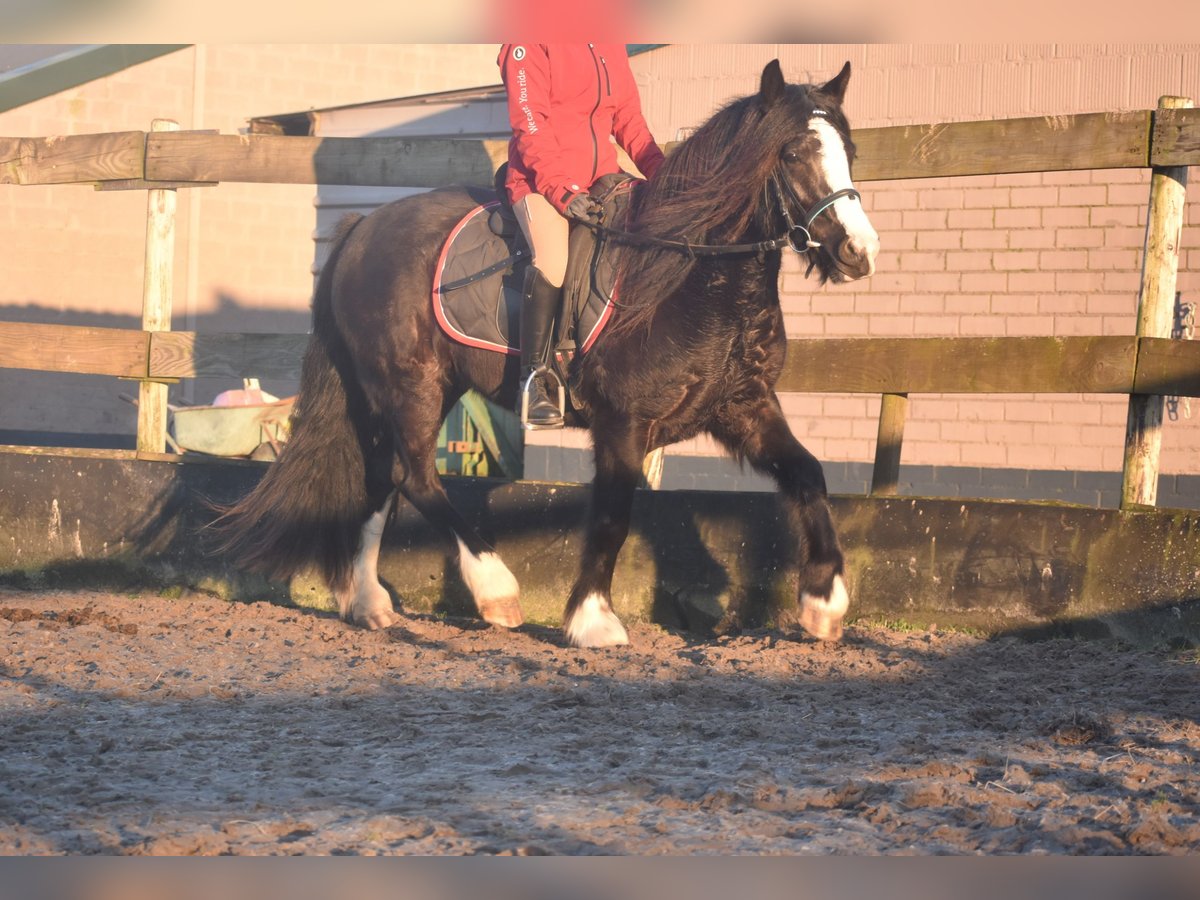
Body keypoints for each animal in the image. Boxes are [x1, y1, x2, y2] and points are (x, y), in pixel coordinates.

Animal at [211, 61, 878, 648]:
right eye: (792, 154)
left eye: (849, 149)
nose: (858, 252)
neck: (690, 277)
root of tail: (360, 231)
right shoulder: (622, 423)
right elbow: (611, 518)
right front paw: (592, 622)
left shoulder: (744, 407)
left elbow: (808, 475)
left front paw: (823, 604)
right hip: (410, 386)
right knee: (414, 477)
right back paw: (495, 593)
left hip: (420, 389)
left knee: (381, 479)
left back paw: (368, 602)